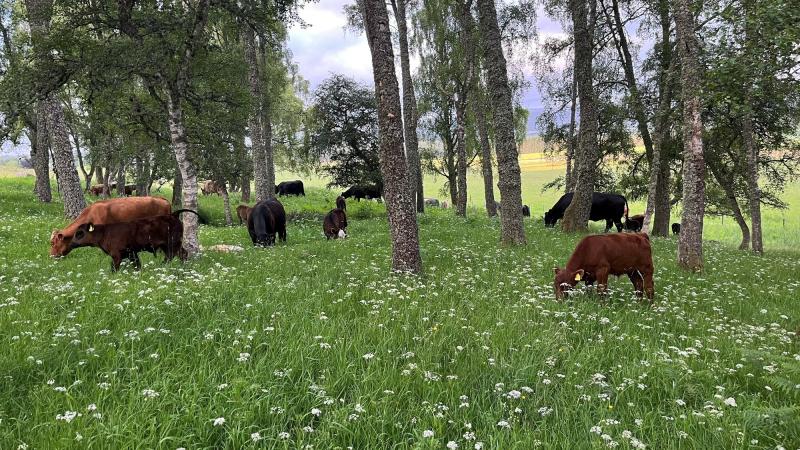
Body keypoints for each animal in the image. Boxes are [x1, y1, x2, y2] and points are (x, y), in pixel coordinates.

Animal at [69, 209, 198, 272]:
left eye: (79, 233)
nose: (72, 243)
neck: (104, 232)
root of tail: (173, 214)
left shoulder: (116, 255)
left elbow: (114, 268)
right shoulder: (131, 253)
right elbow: (137, 265)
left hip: (172, 244)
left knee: (172, 256)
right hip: (170, 245)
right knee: (182, 254)